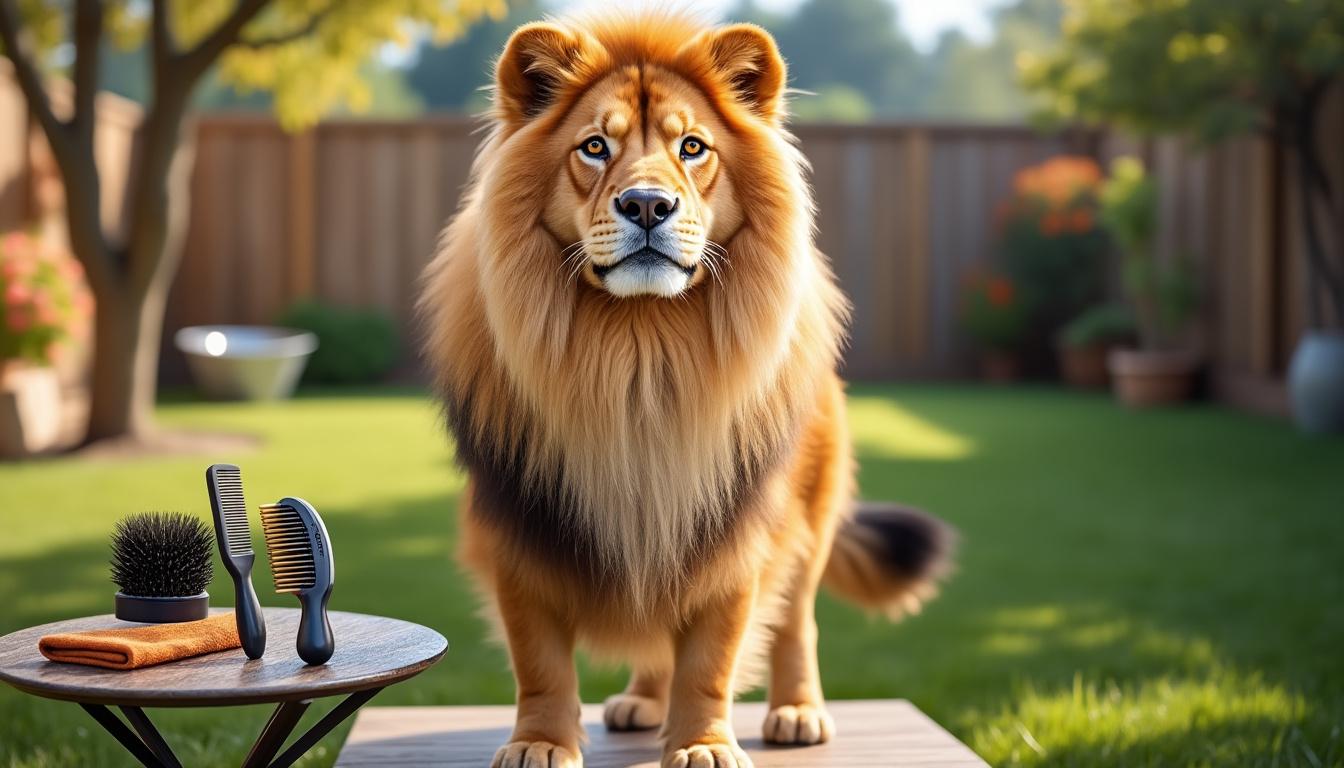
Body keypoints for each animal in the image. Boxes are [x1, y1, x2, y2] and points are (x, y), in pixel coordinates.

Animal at [419, 11, 952, 768]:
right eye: (595, 147)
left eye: (692, 146)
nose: (647, 203)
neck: (641, 356)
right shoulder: (518, 531)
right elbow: (540, 660)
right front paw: (539, 744)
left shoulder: (733, 538)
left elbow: (711, 659)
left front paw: (702, 744)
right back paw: (642, 703)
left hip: (810, 520)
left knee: (796, 624)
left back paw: (798, 713)